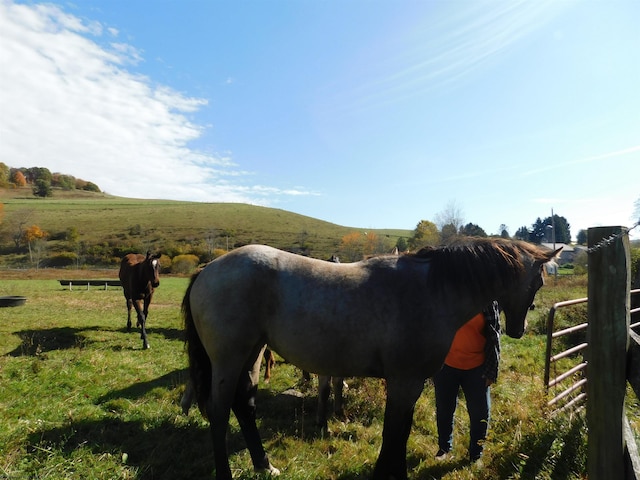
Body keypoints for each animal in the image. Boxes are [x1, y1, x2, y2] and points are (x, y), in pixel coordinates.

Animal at [182, 238, 556, 478]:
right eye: (538, 282)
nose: (518, 329)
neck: (431, 291)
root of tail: (207, 269)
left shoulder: (412, 383)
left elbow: (401, 431)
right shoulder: (404, 381)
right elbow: (393, 432)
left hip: (254, 354)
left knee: (244, 406)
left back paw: (264, 465)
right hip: (229, 359)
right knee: (219, 411)